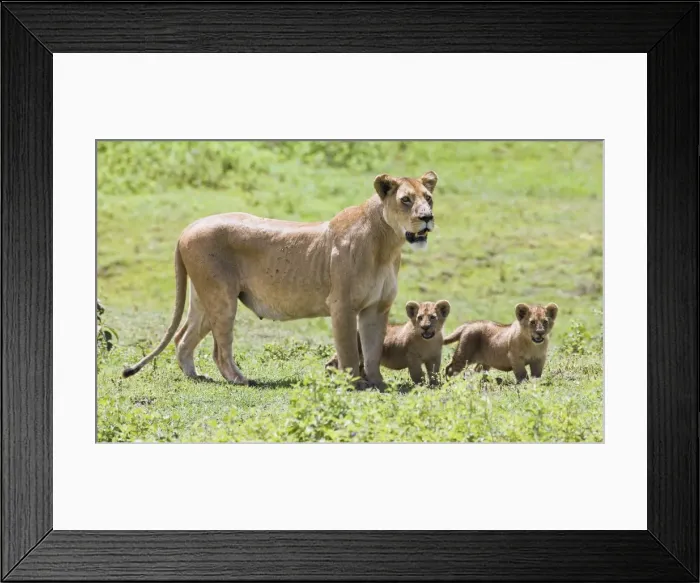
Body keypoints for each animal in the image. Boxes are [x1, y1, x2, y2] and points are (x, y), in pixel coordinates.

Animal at [122, 171, 438, 388]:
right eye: (405, 200)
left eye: (429, 198)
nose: (427, 217)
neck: (387, 245)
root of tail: (188, 228)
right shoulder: (342, 305)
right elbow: (349, 348)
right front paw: (354, 383)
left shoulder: (377, 308)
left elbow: (372, 350)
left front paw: (377, 383)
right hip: (222, 298)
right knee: (220, 349)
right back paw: (239, 379)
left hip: (203, 298)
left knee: (183, 338)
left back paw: (196, 377)